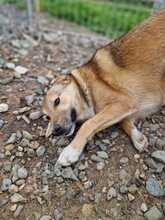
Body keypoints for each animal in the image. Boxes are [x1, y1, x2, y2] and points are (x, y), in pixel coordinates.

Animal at [42, 9, 165, 166]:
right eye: (47, 117)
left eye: (57, 101)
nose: (55, 131)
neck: (86, 88)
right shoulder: (129, 107)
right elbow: (123, 121)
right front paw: (137, 137)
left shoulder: (124, 102)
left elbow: (88, 124)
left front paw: (71, 150)